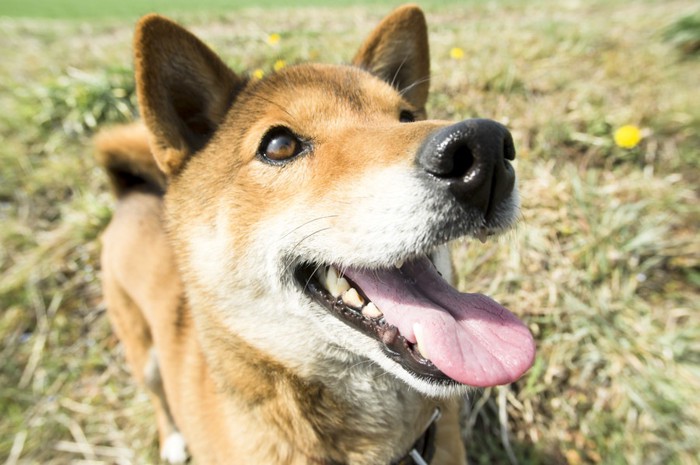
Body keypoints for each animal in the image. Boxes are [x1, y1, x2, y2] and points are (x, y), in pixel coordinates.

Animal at [94, 4, 536, 464]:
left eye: (408, 117)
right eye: (279, 145)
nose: (485, 150)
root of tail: (131, 191)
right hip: (143, 356)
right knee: (157, 396)